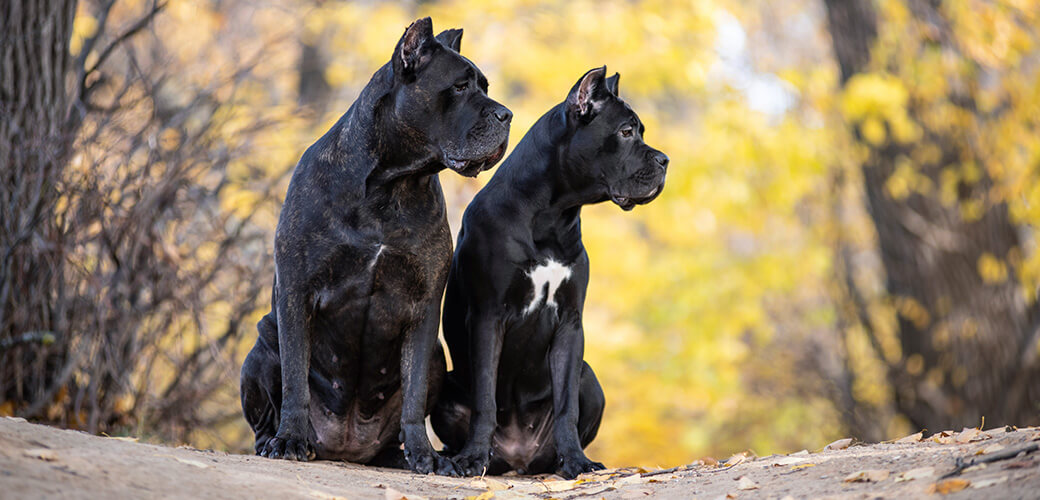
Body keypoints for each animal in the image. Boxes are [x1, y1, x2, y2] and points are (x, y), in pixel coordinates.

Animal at [237, 17, 511, 474]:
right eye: (459, 87)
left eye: (485, 87)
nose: (506, 114)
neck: (391, 185)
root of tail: (345, 447)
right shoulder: (296, 291)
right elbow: (295, 377)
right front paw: (289, 438)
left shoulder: (423, 308)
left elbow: (413, 394)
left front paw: (423, 454)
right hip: (261, 347)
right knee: (267, 408)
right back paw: (277, 441)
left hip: (437, 359)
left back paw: (401, 455)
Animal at [432, 65, 669, 476]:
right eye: (626, 132)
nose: (665, 160)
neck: (553, 214)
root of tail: (518, 457)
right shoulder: (488, 316)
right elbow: (485, 398)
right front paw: (473, 457)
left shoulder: (570, 323)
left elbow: (566, 406)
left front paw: (576, 461)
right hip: (445, 385)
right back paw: (459, 457)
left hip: (590, 378)